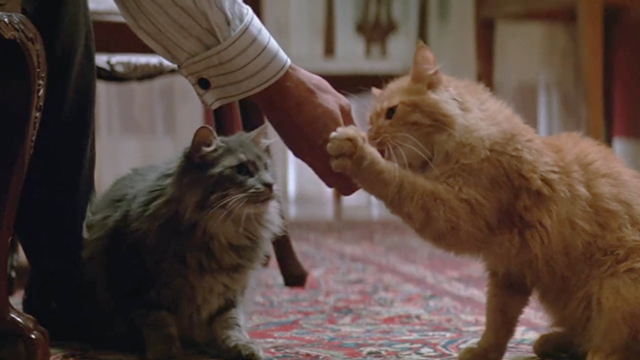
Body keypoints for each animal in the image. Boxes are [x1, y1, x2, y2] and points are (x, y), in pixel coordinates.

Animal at [80, 124, 280, 360]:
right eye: (241, 170)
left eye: (266, 168)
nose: (270, 184)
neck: (220, 235)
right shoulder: (145, 288)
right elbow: (160, 324)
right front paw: (168, 352)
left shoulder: (230, 292)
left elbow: (229, 324)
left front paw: (241, 346)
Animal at [328, 43, 640, 360]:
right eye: (371, 121)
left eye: (392, 112)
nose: (372, 136)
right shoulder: (507, 269)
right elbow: (498, 320)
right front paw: (484, 351)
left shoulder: (456, 214)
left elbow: (396, 181)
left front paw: (358, 154)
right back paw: (552, 342)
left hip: (618, 288)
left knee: (610, 348)